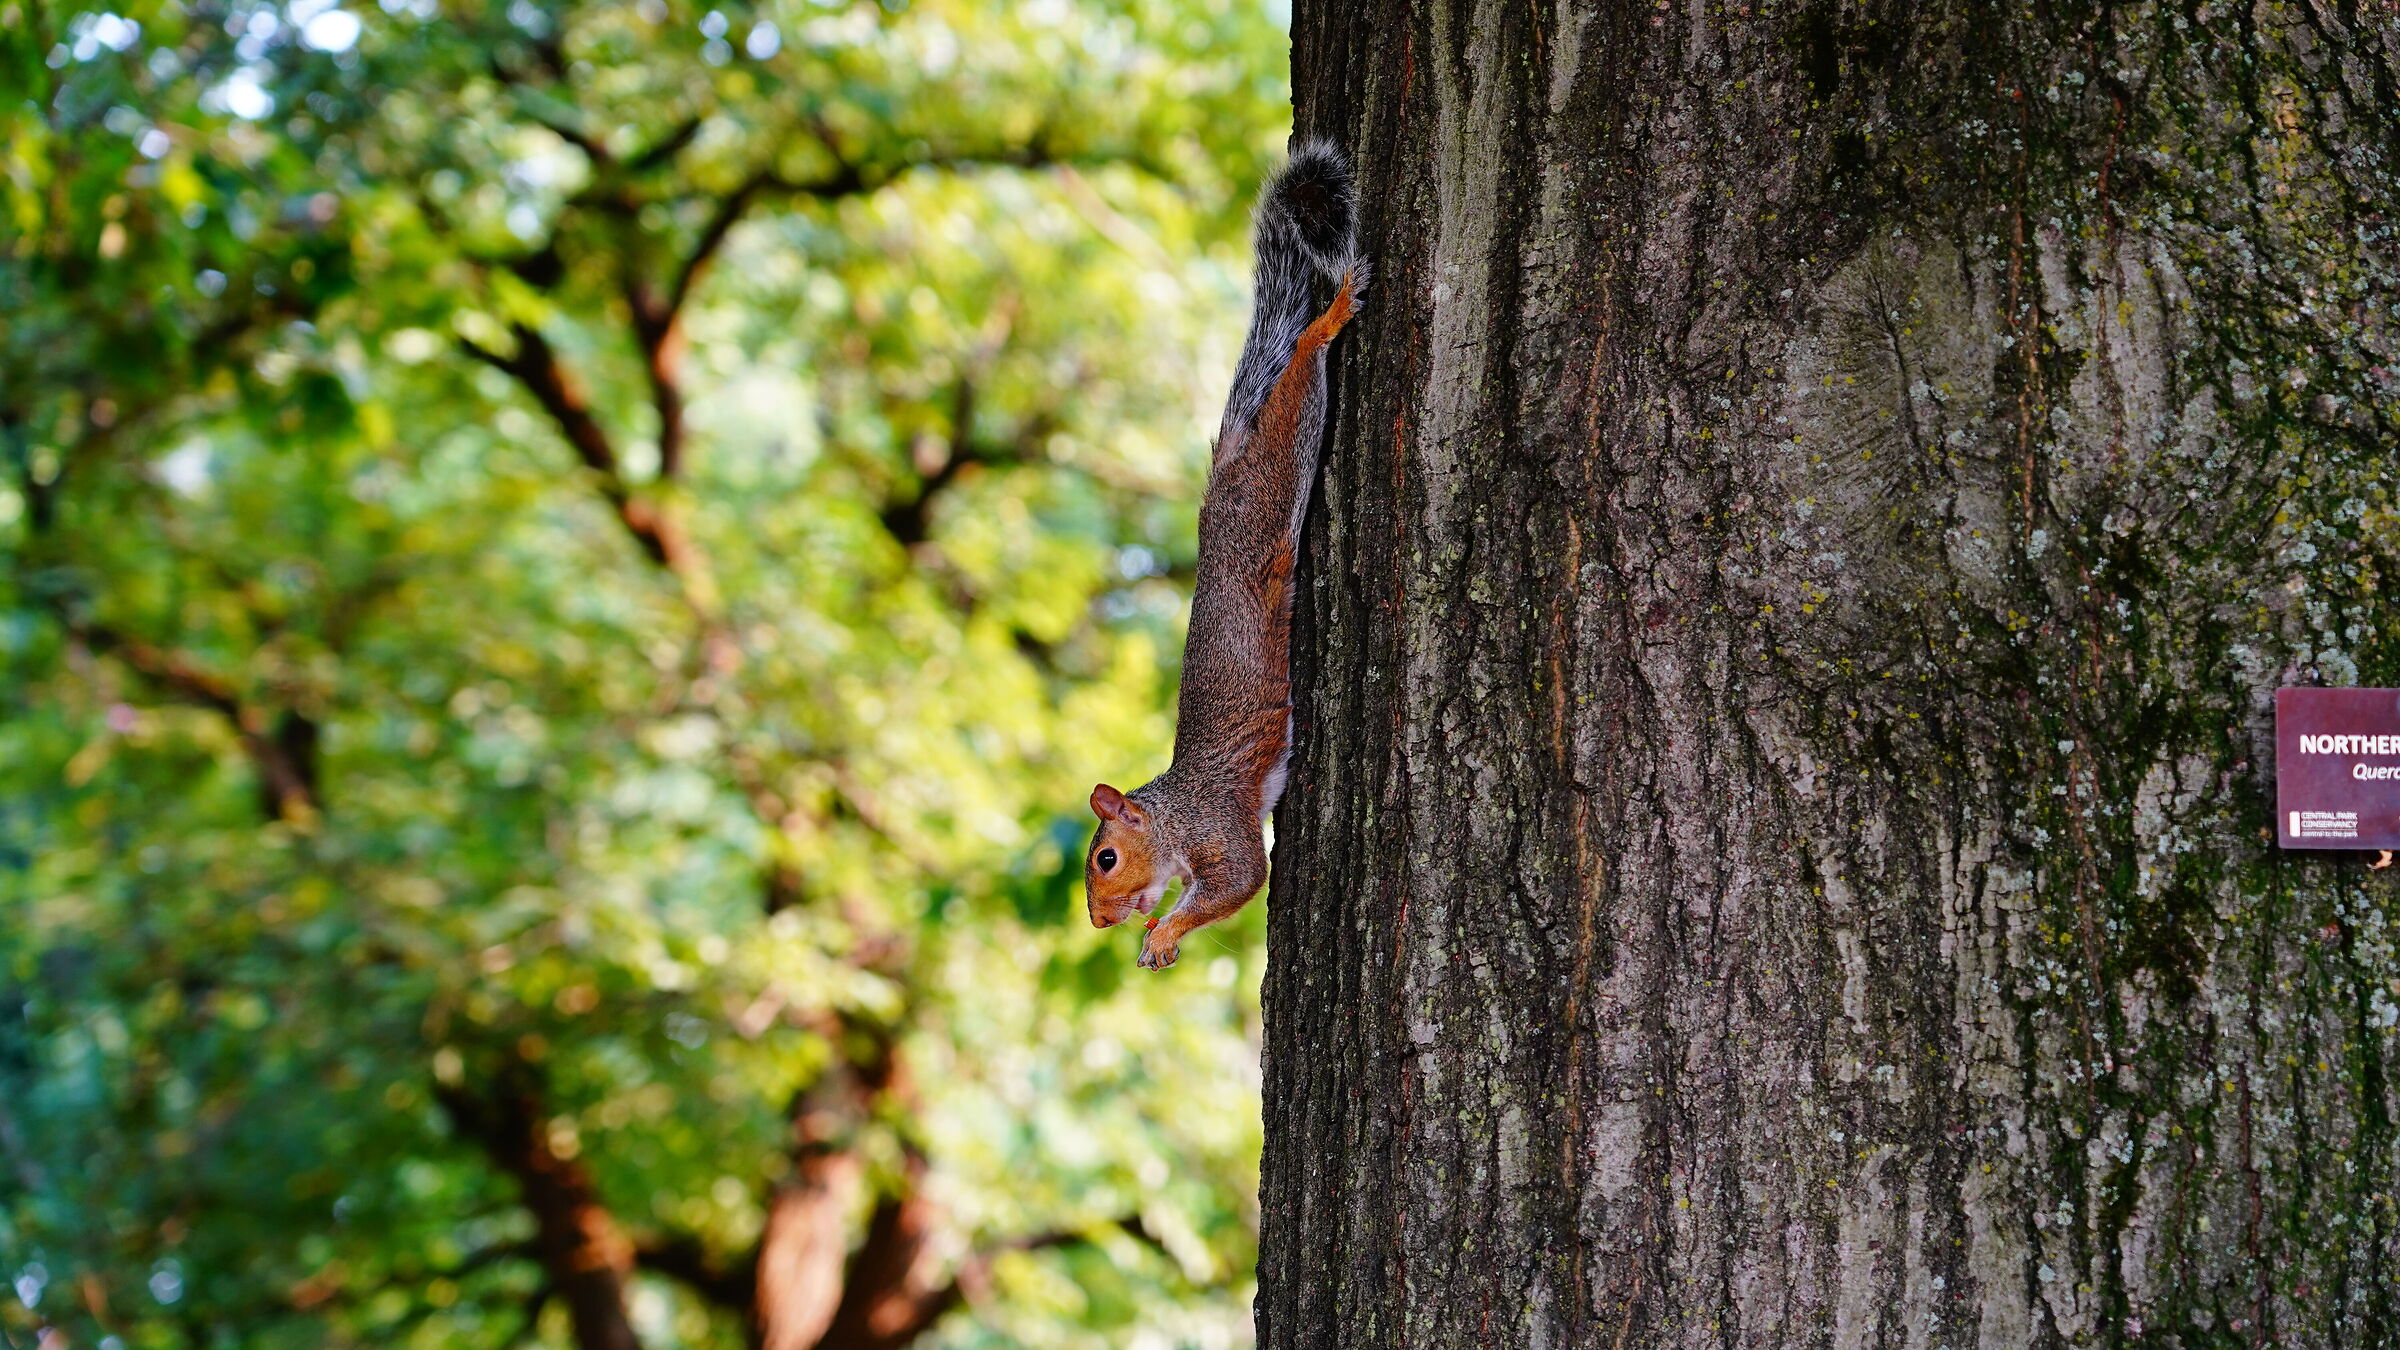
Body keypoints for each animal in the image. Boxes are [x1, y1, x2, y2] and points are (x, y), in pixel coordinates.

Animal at [1084, 140, 1365, 970]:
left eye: (1106, 858)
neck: (1176, 815)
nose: (1100, 923)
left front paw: (1167, 928)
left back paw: (1329, 318)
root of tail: (1224, 470)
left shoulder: (1219, 830)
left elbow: (1241, 879)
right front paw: (1158, 932)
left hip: (1270, 488)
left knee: (1300, 377)